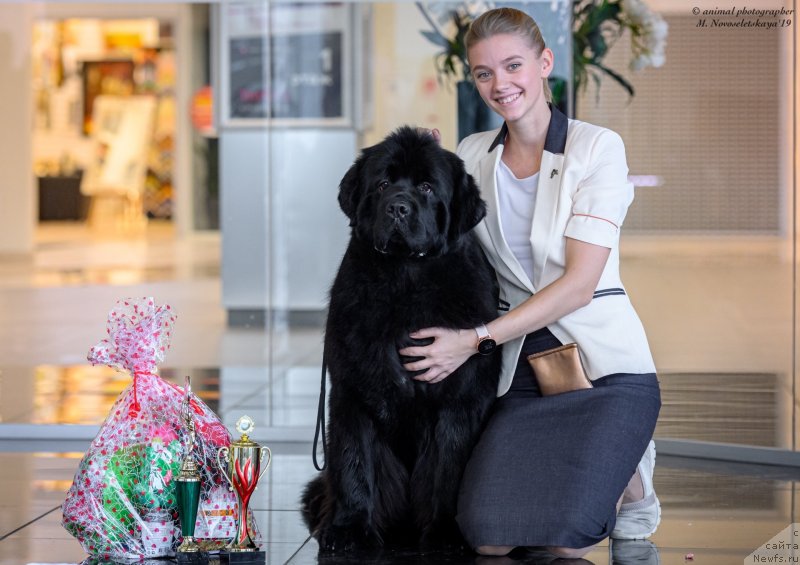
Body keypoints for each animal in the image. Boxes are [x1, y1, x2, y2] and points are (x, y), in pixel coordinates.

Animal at [300, 126, 500, 552]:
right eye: (383, 184)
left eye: (426, 186)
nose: (398, 208)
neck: (406, 278)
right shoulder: (352, 389)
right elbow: (354, 461)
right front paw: (349, 529)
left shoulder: (460, 397)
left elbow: (449, 465)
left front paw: (446, 532)